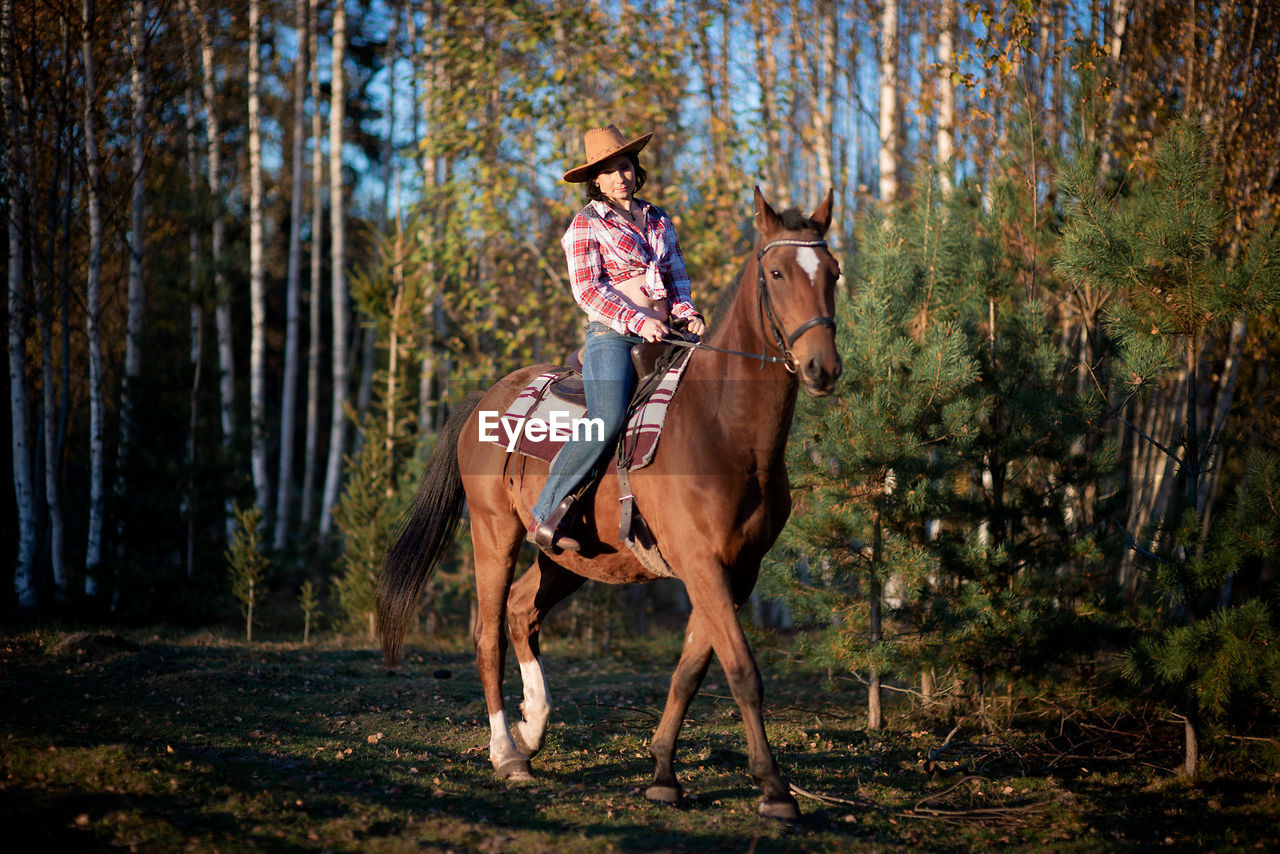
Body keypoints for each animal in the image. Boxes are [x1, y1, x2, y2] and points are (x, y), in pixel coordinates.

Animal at [373, 188, 844, 819]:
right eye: (776, 273)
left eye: (833, 272)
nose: (822, 367)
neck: (722, 428)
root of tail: (486, 400)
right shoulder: (702, 565)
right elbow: (742, 671)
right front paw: (774, 790)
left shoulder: (736, 572)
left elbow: (690, 671)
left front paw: (664, 774)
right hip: (494, 533)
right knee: (489, 634)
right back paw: (507, 754)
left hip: (568, 556)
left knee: (522, 612)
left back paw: (532, 728)